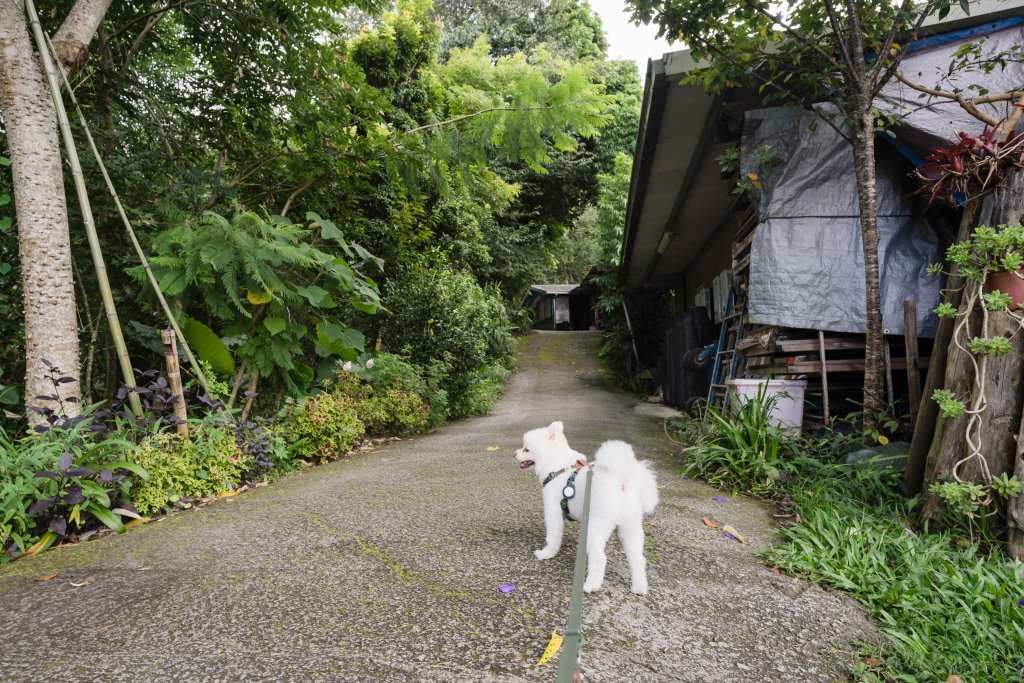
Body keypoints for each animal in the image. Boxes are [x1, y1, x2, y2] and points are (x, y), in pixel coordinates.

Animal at [516, 419, 659, 593]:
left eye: (526, 449)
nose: (514, 453)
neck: (556, 465)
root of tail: (621, 482)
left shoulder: (553, 510)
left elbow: (553, 537)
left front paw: (547, 553)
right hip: (630, 527)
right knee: (638, 559)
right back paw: (639, 587)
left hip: (595, 528)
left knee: (599, 558)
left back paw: (591, 585)